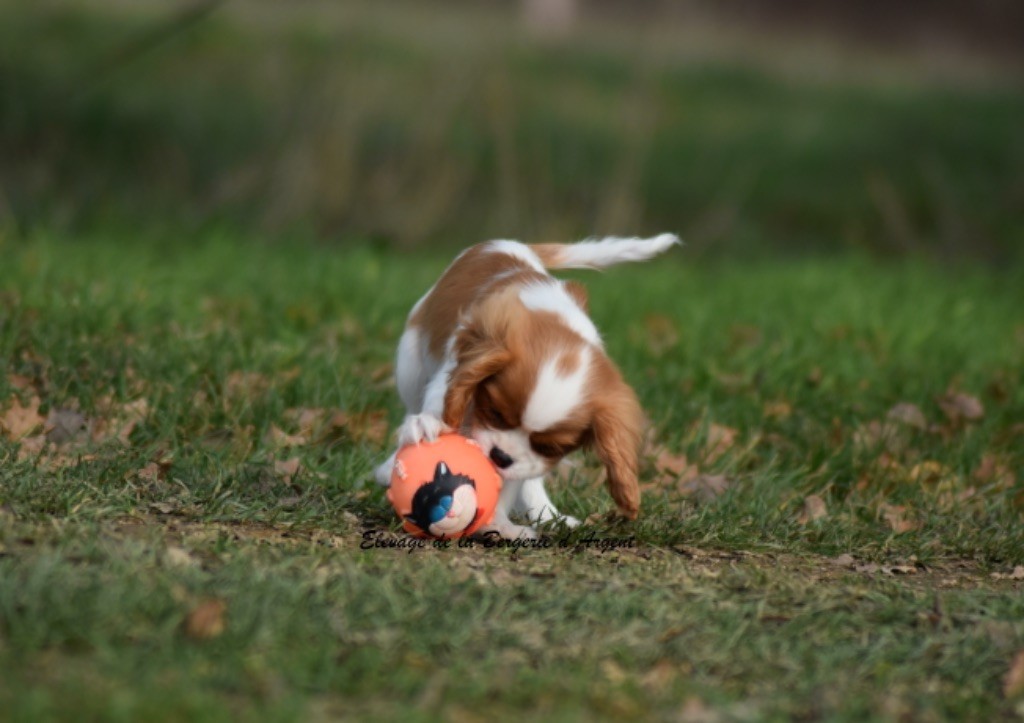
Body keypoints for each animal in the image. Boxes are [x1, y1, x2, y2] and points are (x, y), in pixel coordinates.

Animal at [376, 233, 679, 536]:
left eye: (550, 447)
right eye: (495, 413)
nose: (500, 456)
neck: (554, 326)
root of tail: (510, 242)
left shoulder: (525, 460)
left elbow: (512, 480)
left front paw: (500, 526)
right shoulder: (455, 370)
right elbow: (440, 405)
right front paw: (424, 426)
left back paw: (547, 515)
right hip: (411, 364)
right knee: (413, 400)